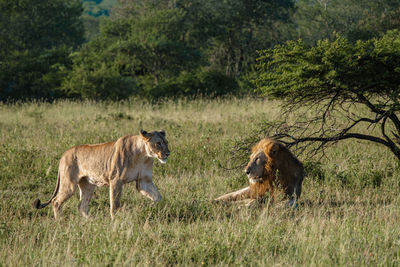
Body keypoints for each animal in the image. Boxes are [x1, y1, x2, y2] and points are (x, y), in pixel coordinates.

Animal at [34, 130, 170, 220]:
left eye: (166, 143)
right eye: (158, 143)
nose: (168, 153)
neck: (143, 155)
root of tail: (64, 154)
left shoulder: (144, 181)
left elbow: (158, 196)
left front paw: (151, 207)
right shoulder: (116, 180)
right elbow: (114, 203)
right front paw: (115, 220)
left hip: (88, 185)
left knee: (82, 205)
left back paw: (90, 221)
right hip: (69, 184)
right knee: (56, 201)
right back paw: (60, 221)